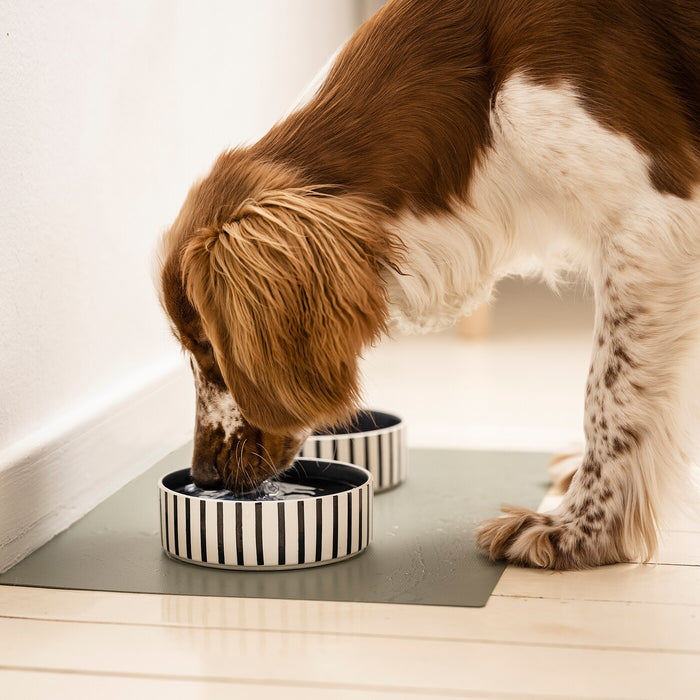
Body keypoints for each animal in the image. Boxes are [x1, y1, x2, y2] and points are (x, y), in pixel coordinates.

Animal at [159, 0, 700, 568]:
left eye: (208, 346)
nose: (204, 476)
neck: (482, 96)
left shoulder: (650, 227)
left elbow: (608, 396)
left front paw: (579, 532)